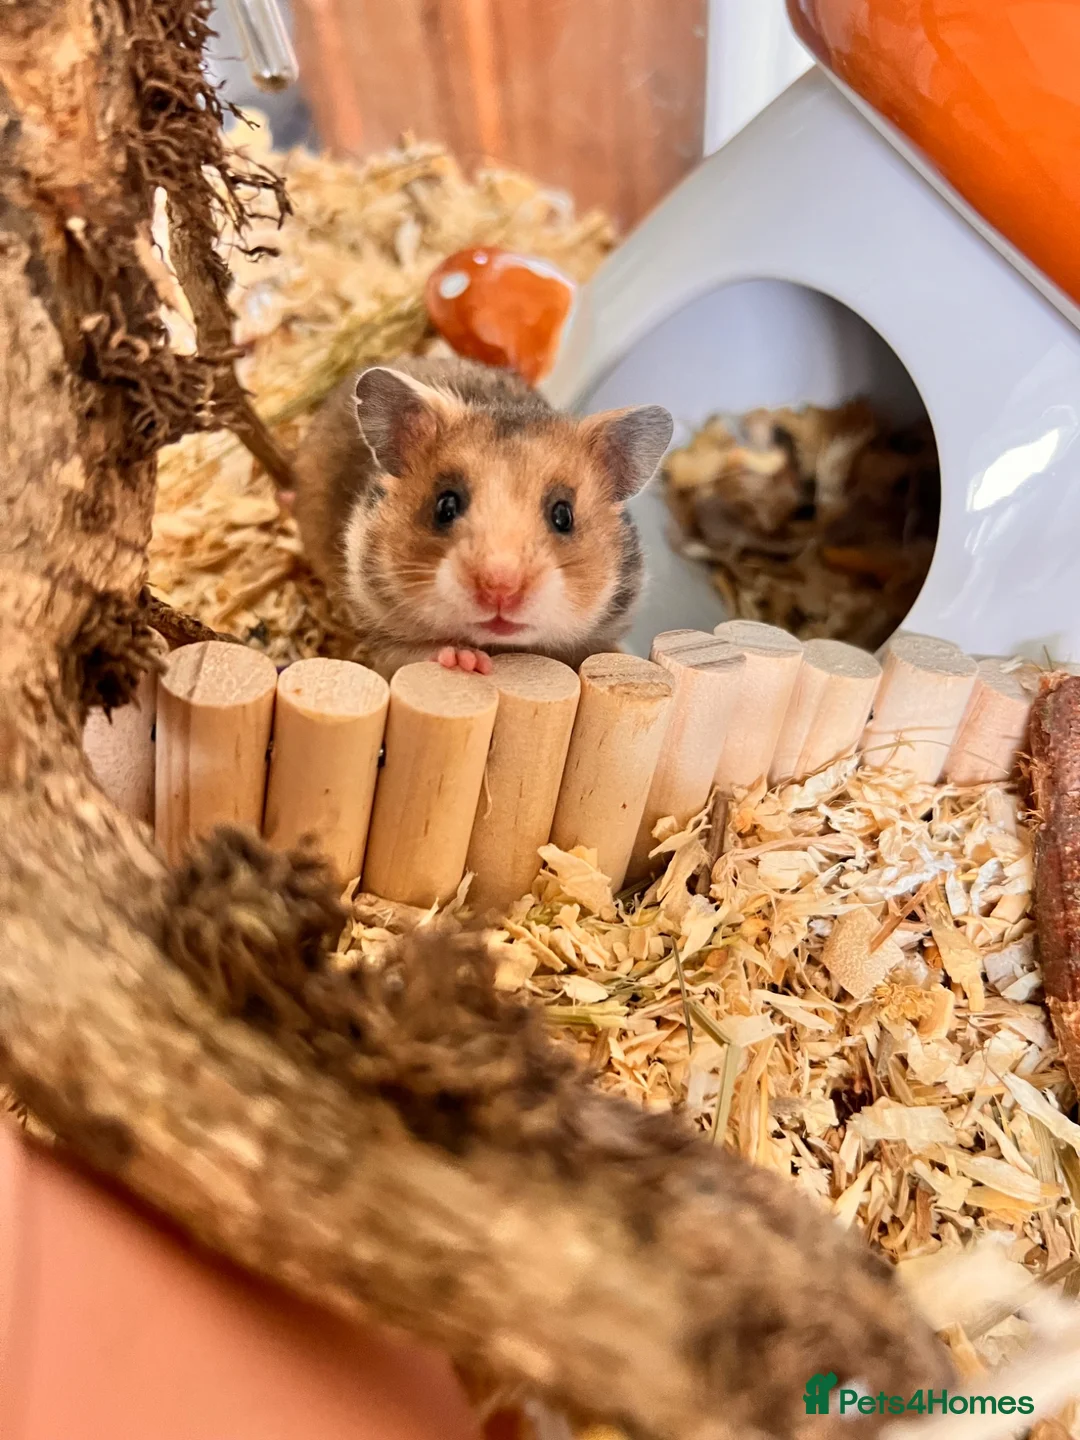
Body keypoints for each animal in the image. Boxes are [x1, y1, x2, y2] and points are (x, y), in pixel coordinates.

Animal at [292, 355, 673, 678]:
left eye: (563, 515)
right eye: (445, 506)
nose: (500, 588)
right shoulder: (380, 638)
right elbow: (415, 654)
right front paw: (467, 660)